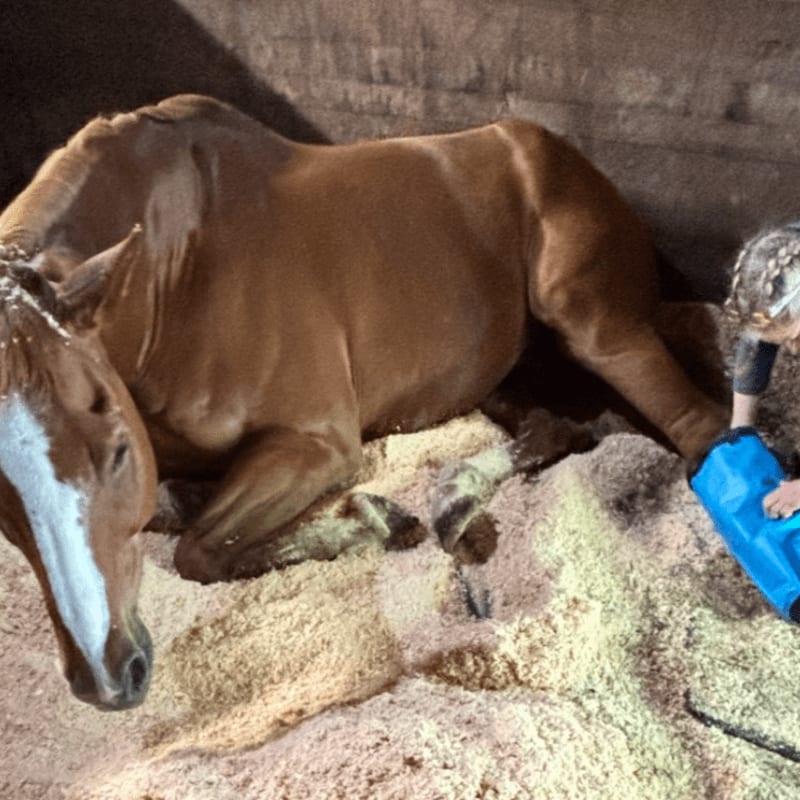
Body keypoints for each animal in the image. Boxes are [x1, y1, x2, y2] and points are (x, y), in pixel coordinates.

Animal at [0, 94, 727, 710]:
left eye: (118, 451)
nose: (109, 676)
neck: (175, 275)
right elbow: (184, 520)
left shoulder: (316, 442)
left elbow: (201, 549)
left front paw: (372, 521)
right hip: (510, 376)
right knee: (559, 429)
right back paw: (455, 501)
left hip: (593, 326)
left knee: (699, 429)